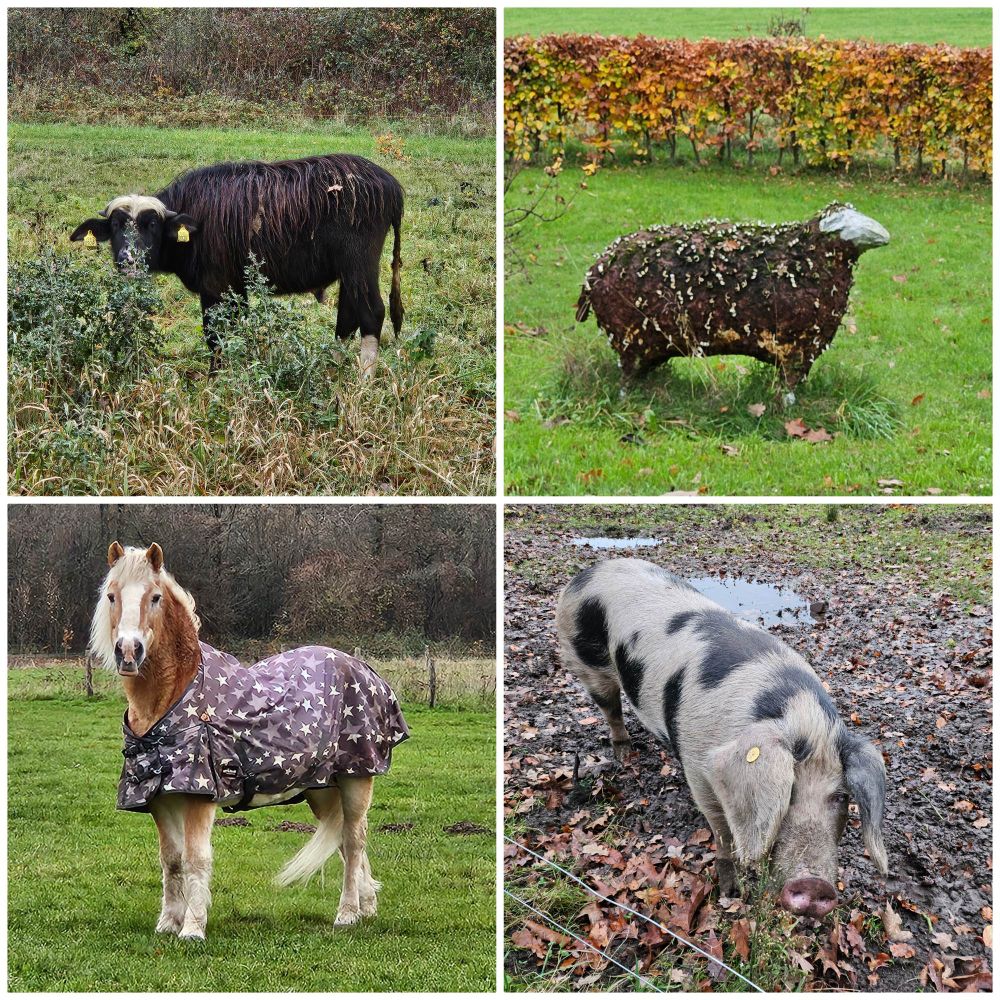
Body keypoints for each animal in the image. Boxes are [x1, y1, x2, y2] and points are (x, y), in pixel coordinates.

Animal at [89, 541, 410, 940]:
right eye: (111, 595)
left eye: (155, 597)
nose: (128, 652)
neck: (177, 697)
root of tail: (362, 668)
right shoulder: (160, 798)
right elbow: (172, 860)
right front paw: (168, 923)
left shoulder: (199, 796)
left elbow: (196, 859)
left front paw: (193, 927)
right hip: (323, 789)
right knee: (347, 843)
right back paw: (367, 908)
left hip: (356, 779)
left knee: (353, 842)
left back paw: (348, 914)